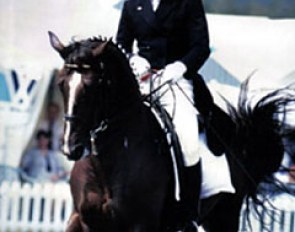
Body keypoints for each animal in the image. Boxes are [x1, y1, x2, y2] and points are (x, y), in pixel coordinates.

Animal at [49, 31, 295, 232]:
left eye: (93, 86)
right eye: (61, 84)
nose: (71, 147)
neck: (104, 167)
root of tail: (238, 140)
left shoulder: (141, 225)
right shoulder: (82, 220)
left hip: (224, 215)